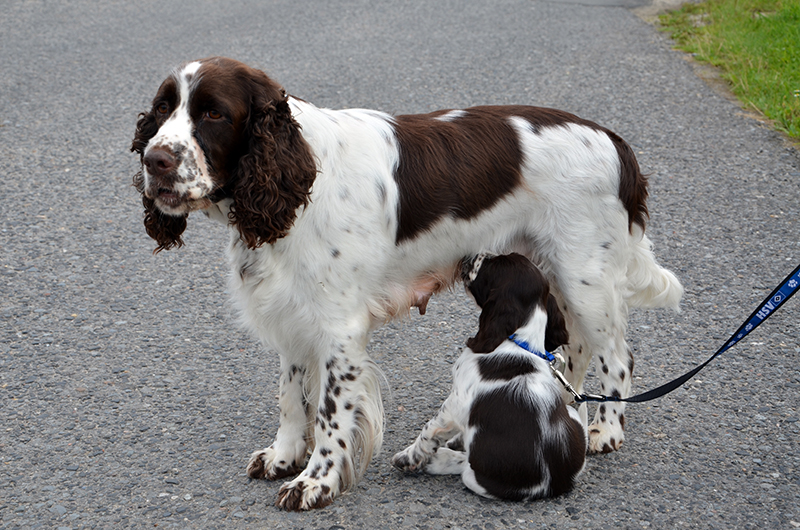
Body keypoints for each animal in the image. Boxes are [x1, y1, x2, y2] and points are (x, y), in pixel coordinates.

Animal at [394, 252, 588, 500]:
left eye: (493, 264)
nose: (472, 254)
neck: (519, 341)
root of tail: (552, 485)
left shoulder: (454, 404)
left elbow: (429, 430)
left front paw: (408, 457)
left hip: (476, 477)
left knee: (464, 464)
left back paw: (438, 460)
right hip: (572, 417)